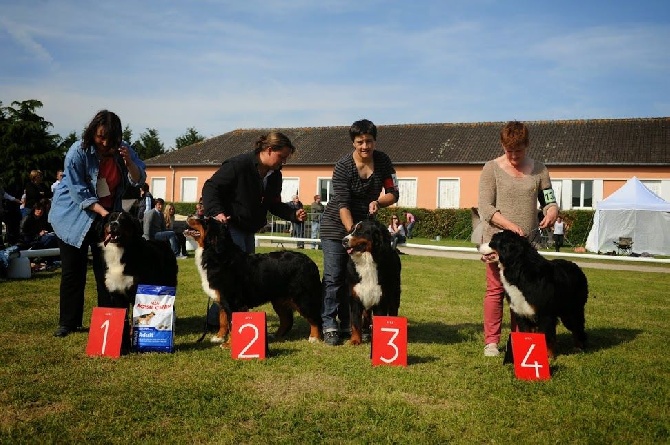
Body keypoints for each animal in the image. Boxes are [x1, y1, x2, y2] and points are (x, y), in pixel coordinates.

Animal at [182, 217, 322, 346]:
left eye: (205, 221)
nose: (189, 216)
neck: (218, 256)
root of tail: (310, 261)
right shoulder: (222, 301)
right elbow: (223, 321)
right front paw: (219, 337)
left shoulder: (232, 302)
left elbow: (232, 325)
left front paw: (228, 344)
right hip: (279, 300)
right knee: (287, 320)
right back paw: (274, 335)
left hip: (303, 297)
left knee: (314, 317)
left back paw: (314, 337)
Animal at [480, 227, 592, 360]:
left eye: (493, 241)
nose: (477, 245)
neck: (519, 270)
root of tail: (577, 267)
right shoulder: (522, 313)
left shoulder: (545, 314)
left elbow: (547, 337)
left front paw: (548, 357)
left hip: (571, 311)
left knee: (578, 328)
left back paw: (579, 347)